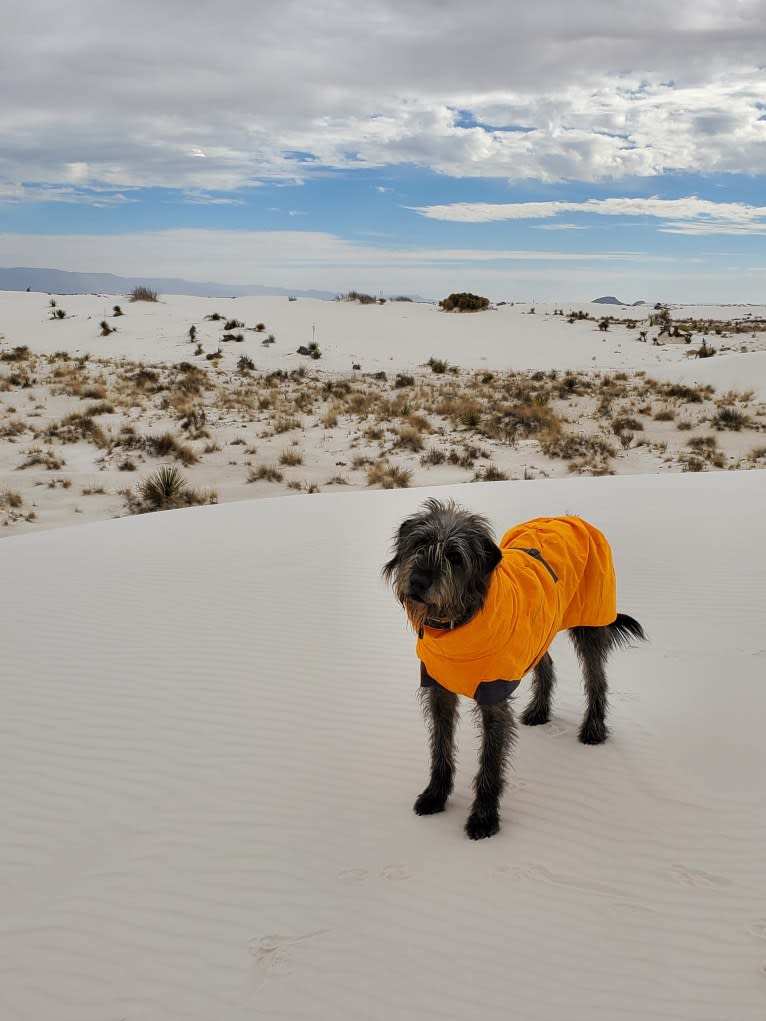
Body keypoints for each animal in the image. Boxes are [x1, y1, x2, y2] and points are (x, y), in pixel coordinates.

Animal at [384, 498, 649, 841]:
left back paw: (593, 728)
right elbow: (440, 747)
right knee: (546, 664)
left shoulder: (493, 697)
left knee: (596, 678)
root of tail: (571, 518)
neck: (458, 624)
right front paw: (435, 795)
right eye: (419, 544)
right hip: (540, 626)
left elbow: (490, 761)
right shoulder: (439, 689)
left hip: (589, 620)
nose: (418, 582)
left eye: (455, 556)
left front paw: (484, 817)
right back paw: (540, 711)